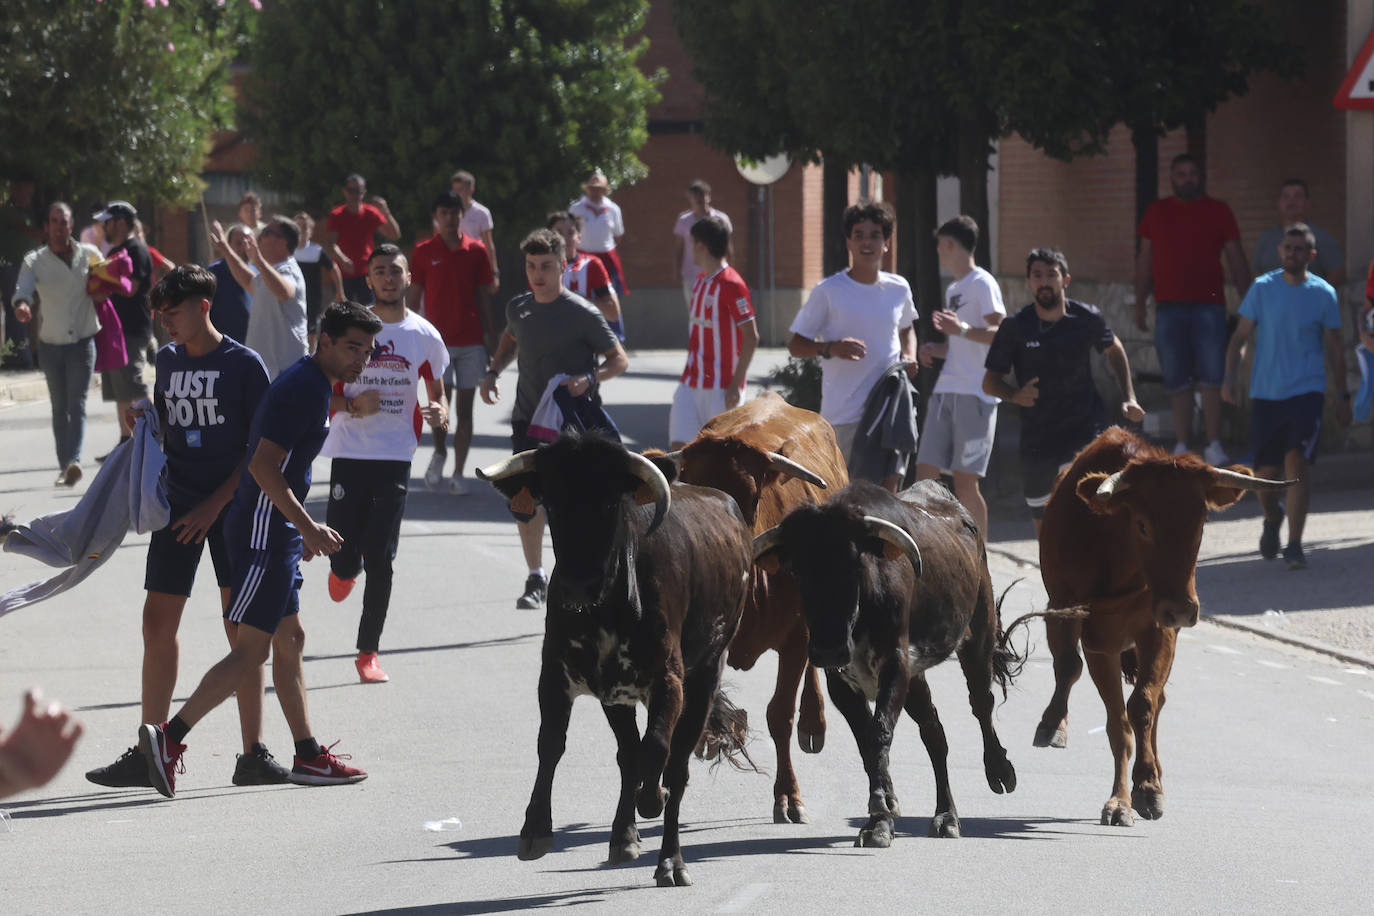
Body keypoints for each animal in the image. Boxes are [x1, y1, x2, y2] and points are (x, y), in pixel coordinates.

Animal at [472, 436, 752, 889]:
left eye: (609, 504)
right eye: (552, 502)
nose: (574, 585)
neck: (605, 607)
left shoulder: (669, 680)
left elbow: (657, 748)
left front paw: (652, 800)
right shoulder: (556, 675)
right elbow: (551, 743)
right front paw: (535, 830)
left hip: (705, 675)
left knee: (674, 764)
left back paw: (671, 860)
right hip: (616, 695)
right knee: (628, 754)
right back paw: (623, 838)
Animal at [676, 392, 846, 823]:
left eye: (751, 496)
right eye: (692, 487)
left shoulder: (797, 636)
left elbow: (780, 714)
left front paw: (788, 796)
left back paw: (814, 723)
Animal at [752, 483, 1022, 851]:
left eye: (854, 565)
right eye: (797, 570)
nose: (828, 649)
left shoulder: (895, 666)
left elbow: (879, 733)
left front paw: (881, 812)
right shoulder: (842, 683)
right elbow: (867, 744)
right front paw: (881, 816)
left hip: (977, 636)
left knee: (981, 703)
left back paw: (998, 772)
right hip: (917, 676)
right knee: (934, 733)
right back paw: (946, 816)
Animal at [1033, 425, 1291, 829]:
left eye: (1201, 523)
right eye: (1142, 524)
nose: (1182, 609)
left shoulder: (1159, 632)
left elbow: (1142, 705)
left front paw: (1148, 787)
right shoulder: (1098, 640)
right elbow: (1117, 722)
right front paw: (1120, 801)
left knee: (1154, 700)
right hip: (1060, 610)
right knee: (1067, 666)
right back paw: (1052, 724)